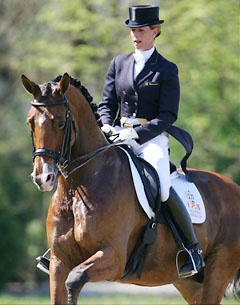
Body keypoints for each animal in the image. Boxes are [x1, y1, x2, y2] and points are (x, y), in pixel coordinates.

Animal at [21, 72, 239, 302]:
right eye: (30, 122)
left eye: (61, 123)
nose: (43, 177)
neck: (75, 189)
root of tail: (234, 189)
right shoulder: (59, 261)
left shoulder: (114, 258)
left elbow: (74, 279)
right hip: (189, 283)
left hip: (219, 269)